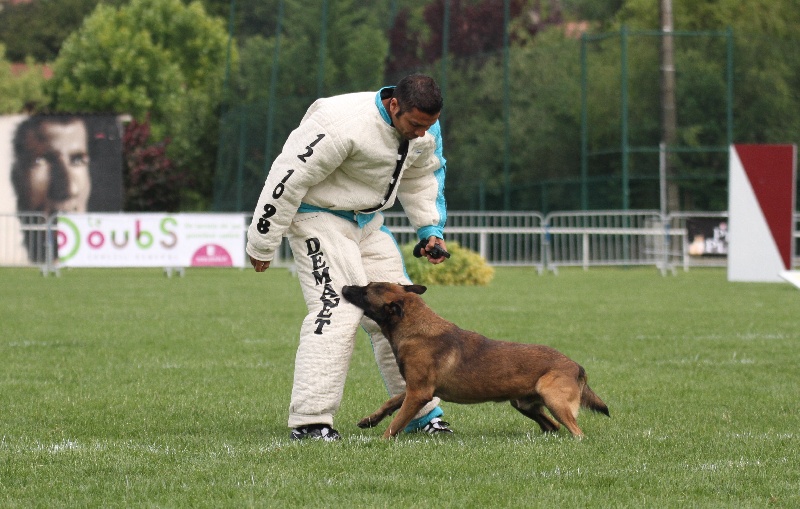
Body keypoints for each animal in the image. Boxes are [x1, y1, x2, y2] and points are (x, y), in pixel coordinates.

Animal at [340, 282, 608, 436]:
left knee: (576, 432)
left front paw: (381, 441)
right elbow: (391, 403)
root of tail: (576, 365)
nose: (343, 287)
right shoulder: (414, 389)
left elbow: (396, 422)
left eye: (365, 292)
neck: (415, 327)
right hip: (523, 404)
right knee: (552, 427)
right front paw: (369, 420)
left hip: (553, 399)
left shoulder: (419, 393)